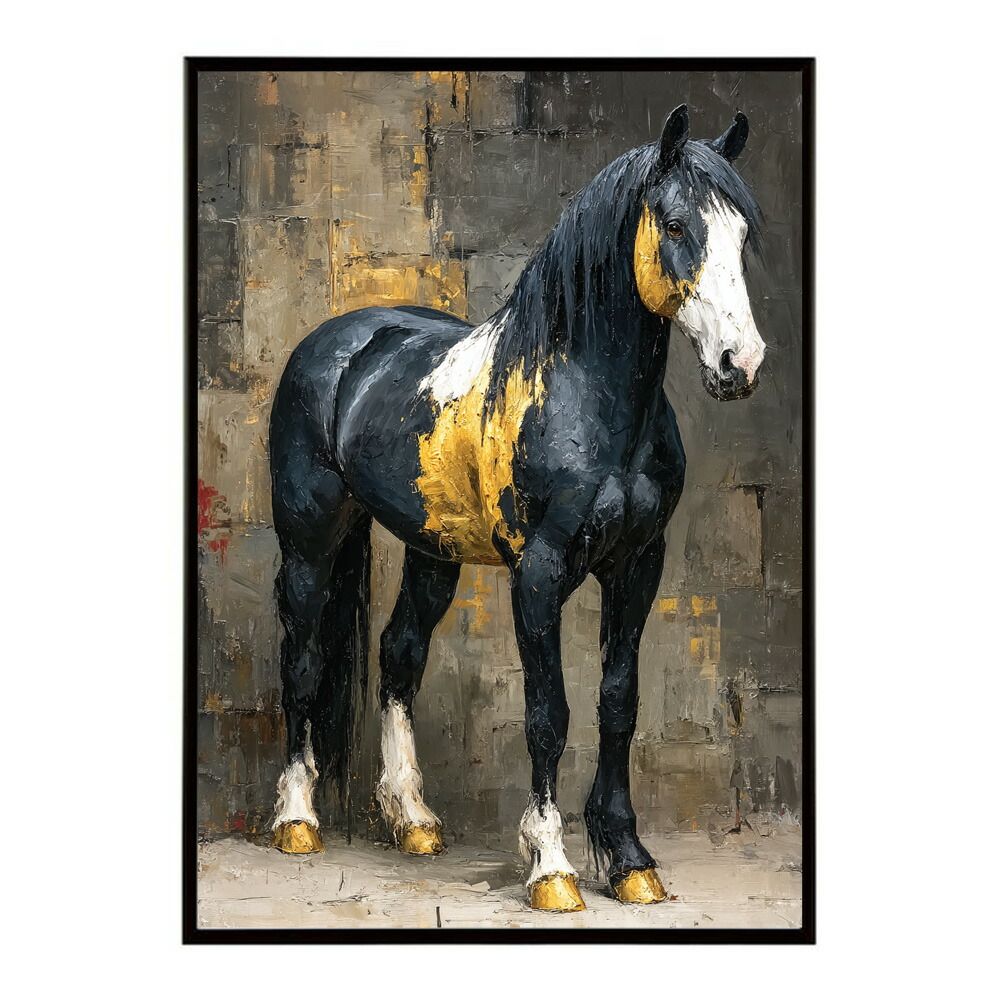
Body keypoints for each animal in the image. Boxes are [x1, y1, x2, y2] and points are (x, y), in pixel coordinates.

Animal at [266, 103, 766, 912]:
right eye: (676, 223)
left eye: (742, 233)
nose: (740, 363)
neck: (587, 398)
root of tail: (335, 341)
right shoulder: (539, 574)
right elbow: (547, 714)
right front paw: (552, 866)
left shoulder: (638, 565)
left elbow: (618, 704)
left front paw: (630, 861)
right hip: (309, 542)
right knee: (303, 660)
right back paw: (297, 820)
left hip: (431, 551)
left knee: (399, 656)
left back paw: (413, 820)